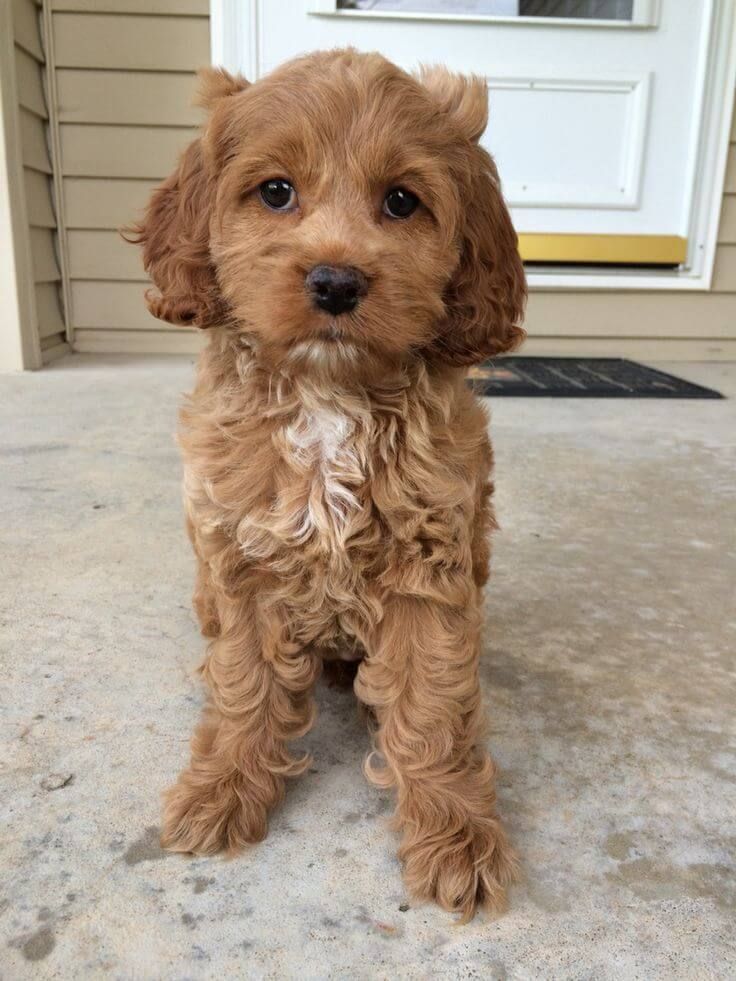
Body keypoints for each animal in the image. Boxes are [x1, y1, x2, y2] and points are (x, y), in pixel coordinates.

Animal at [129, 46, 528, 920]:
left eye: (403, 200)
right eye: (276, 191)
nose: (337, 282)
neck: (327, 397)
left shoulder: (430, 567)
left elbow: (433, 705)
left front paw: (454, 832)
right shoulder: (242, 561)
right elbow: (244, 685)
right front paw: (222, 788)